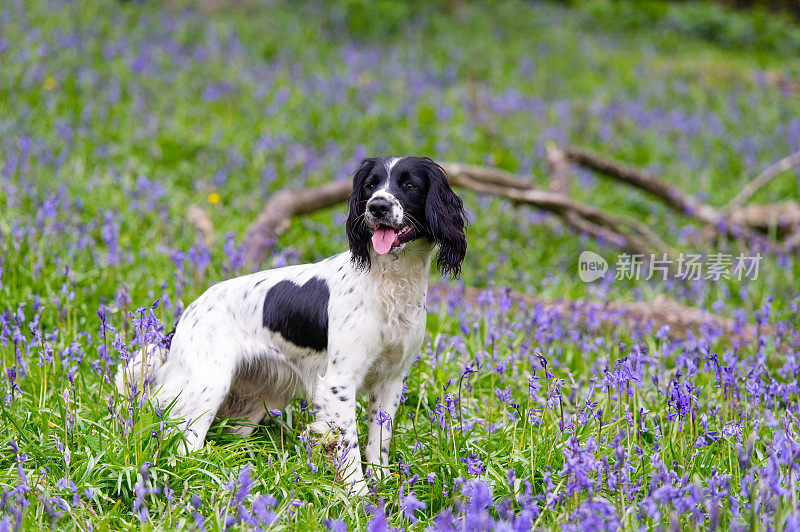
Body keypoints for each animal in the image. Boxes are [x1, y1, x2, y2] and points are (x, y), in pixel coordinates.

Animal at [119, 156, 468, 492]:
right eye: (371, 186)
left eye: (409, 184)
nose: (377, 206)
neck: (389, 285)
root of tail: (185, 317)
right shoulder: (339, 383)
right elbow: (350, 448)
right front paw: (359, 497)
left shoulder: (391, 380)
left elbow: (378, 444)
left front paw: (385, 488)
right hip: (209, 385)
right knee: (185, 446)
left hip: (258, 401)